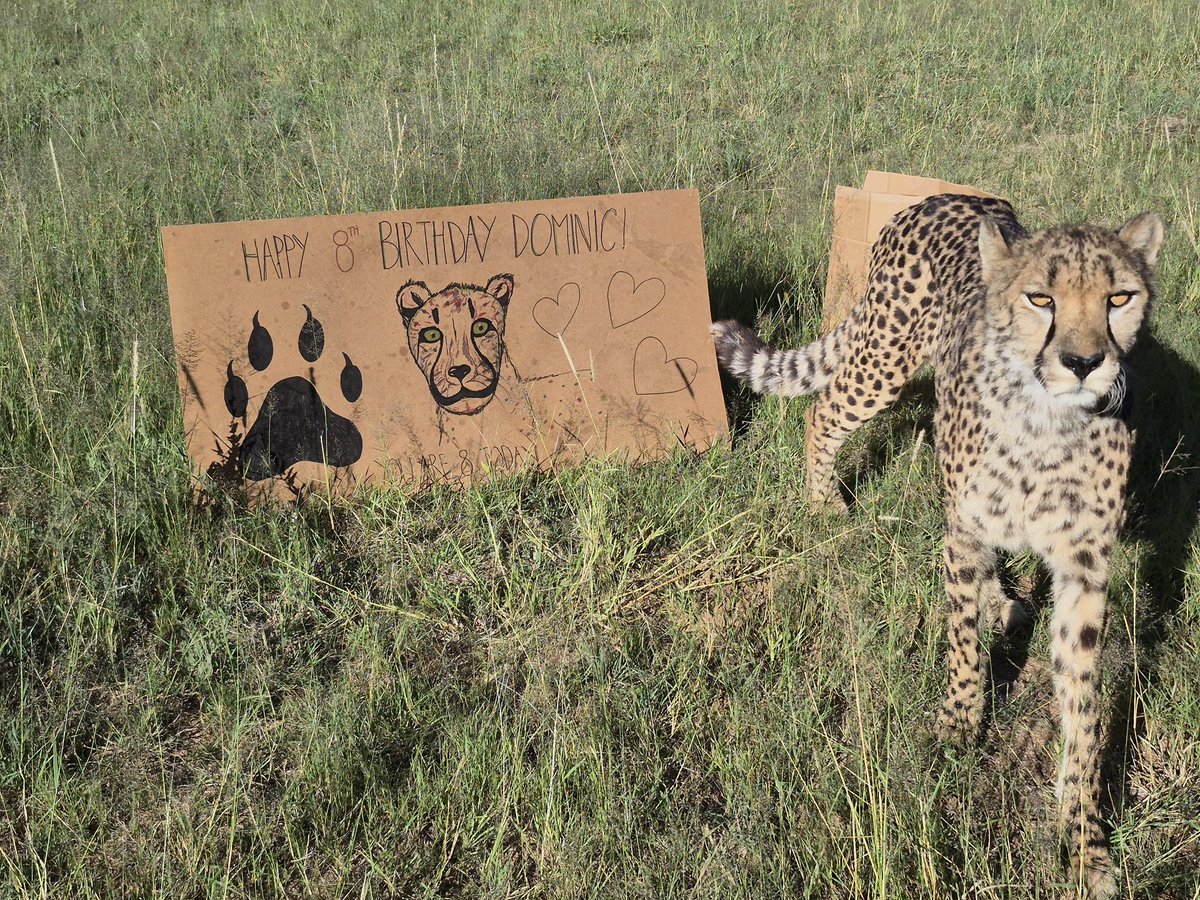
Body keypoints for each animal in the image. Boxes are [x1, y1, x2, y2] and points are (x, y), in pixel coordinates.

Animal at [712, 193, 1164, 898]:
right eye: (1041, 298)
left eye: (1119, 297)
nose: (1085, 363)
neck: (1047, 421)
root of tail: (943, 198)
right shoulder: (964, 531)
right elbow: (962, 642)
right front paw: (958, 728)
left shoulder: (1083, 568)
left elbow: (1084, 705)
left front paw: (1085, 836)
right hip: (884, 359)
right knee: (825, 408)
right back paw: (821, 502)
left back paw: (1004, 601)